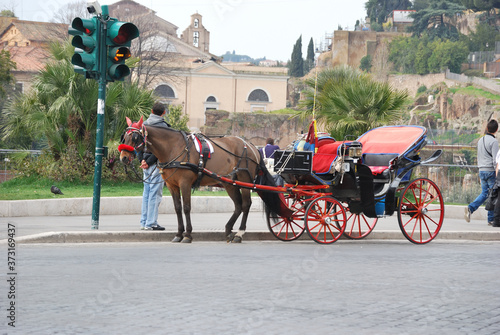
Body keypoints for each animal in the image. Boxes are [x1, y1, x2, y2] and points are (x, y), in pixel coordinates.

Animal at [118, 117, 290, 243]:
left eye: (135, 137)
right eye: (124, 137)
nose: (123, 157)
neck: (174, 147)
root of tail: (252, 146)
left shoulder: (185, 183)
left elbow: (187, 207)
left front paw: (187, 235)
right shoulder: (172, 185)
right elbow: (177, 208)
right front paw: (179, 234)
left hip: (244, 180)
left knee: (246, 204)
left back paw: (239, 233)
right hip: (229, 183)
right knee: (238, 205)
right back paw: (229, 230)